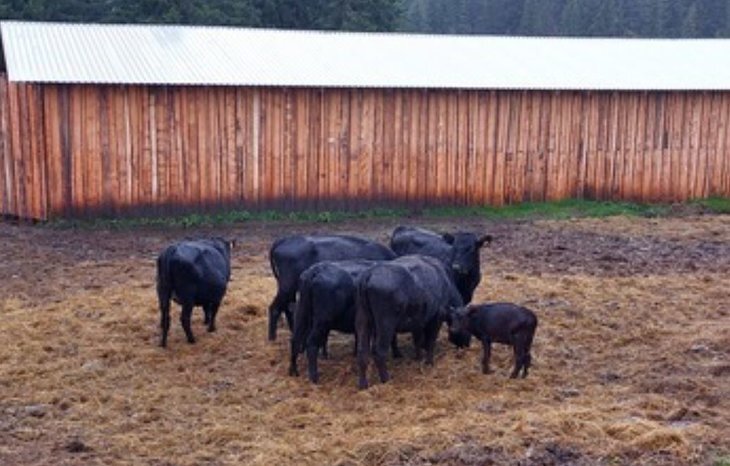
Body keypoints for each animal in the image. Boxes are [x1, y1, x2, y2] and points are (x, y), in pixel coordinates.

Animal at [354, 255, 460, 390]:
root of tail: (369, 274)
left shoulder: (418, 322)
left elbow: (418, 340)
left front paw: (418, 357)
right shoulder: (437, 318)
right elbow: (430, 341)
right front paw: (429, 362)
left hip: (363, 321)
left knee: (362, 353)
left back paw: (363, 384)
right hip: (385, 325)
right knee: (379, 352)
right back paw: (385, 379)